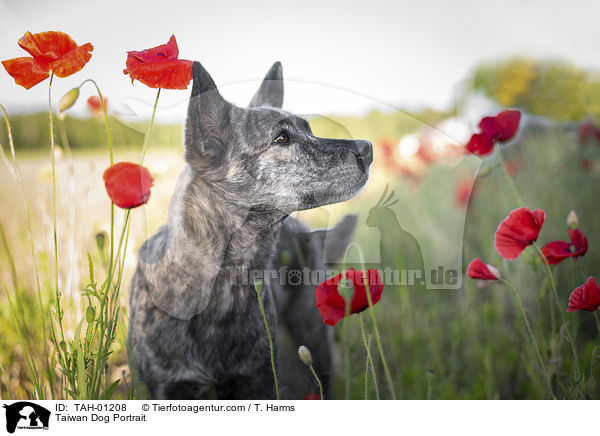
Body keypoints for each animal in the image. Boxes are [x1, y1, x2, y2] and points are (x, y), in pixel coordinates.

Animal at [127, 60, 370, 398]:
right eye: (281, 138)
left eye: (309, 130)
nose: (369, 148)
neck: (221, 286)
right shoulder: (169, 387)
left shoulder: (259, 381)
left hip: (315, 342)